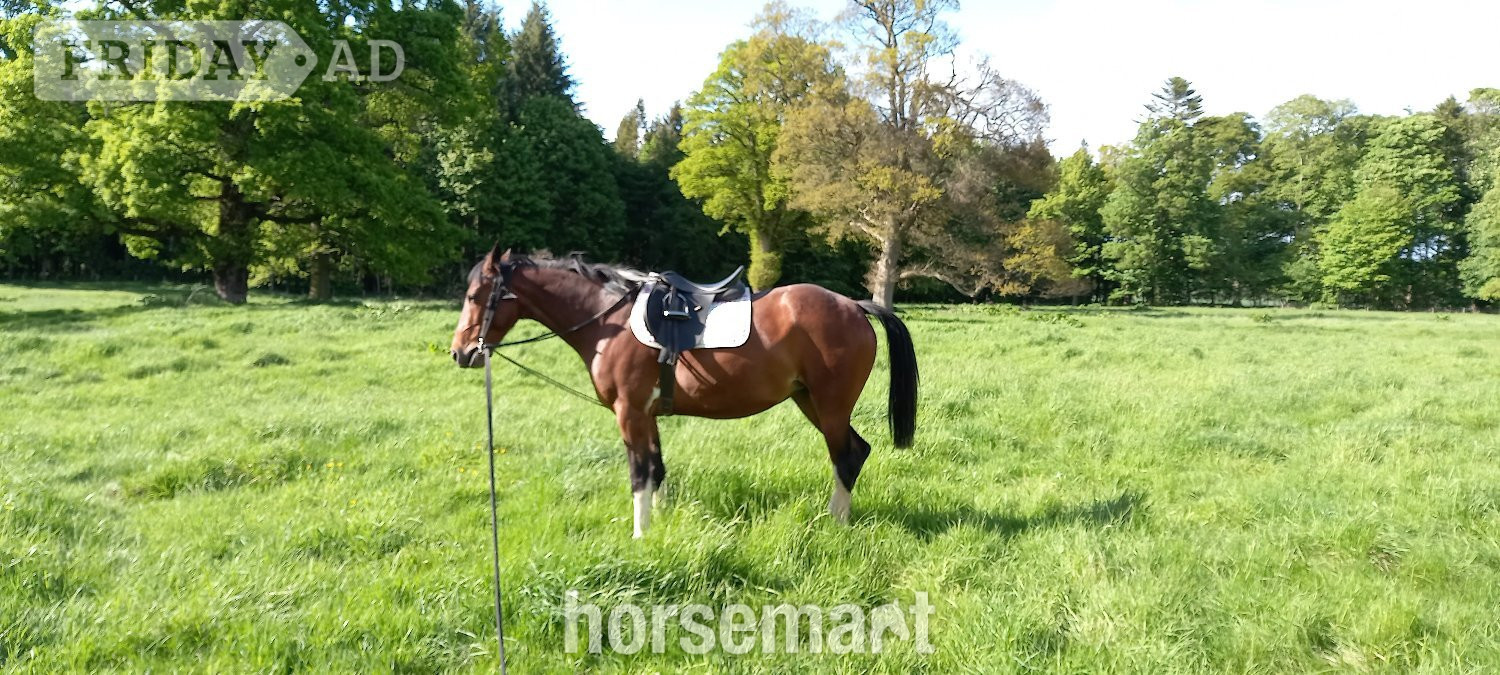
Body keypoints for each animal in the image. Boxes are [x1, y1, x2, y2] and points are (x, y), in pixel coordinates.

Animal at [450, 246, 918, 538]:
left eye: (474, 296)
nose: (460, 352)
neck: (607, 321)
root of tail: (854, 306)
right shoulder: (648, 415)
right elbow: (657, 470)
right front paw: (659, 524)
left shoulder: (629, 414)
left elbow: (639, 474)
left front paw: (639, 534)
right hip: (810, 401)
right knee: (856, 451)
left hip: (830, 405)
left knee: (846, 457)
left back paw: (836, 522)